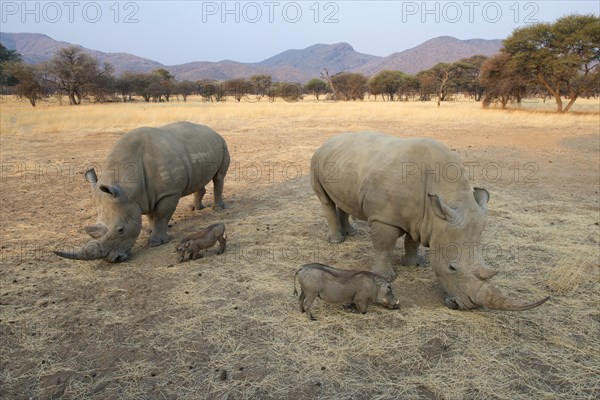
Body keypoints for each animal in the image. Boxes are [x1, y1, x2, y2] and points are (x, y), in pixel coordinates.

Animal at [56, 121, 230, 262]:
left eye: (120, 230)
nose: (113, 260)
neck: (128, 188)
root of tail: (212, 130)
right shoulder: (143, 196)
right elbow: (151, 216)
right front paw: (150, 230)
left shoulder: (168, 193)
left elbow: (161, 215)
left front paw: (156, 243)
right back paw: (196, 209)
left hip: (222, 143)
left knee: (219, 177)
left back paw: (218, 209)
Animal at [312, 133, 552, 310]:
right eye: (452, 267)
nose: (467, 306)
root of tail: (329, 139)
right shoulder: (384, 217)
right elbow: (384, 245)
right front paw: (386, 276)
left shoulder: (423, 218)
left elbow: (412, 241)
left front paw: (414, 264)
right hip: (316, 159)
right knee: (324, 199)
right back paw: (336, 241)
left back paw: (350, 234)